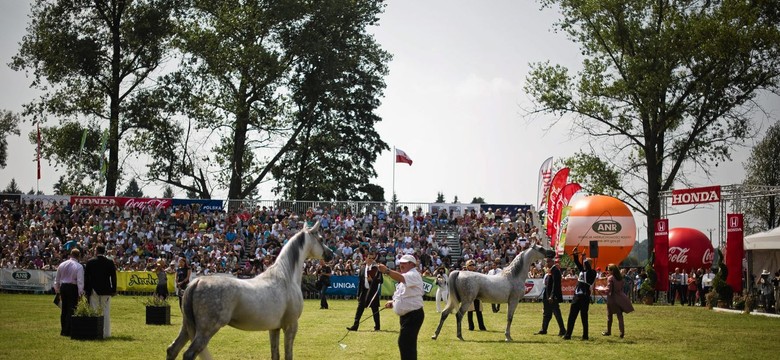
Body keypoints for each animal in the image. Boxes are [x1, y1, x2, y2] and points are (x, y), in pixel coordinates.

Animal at [168, 219, 332, 360]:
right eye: (321, 239)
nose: (331, 254)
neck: (286, 277)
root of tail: (197, 282)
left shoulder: (274, 328)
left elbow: (275, 354)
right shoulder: (290, 326)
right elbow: (287, 355)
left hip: (187, 327)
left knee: (172, 349)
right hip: (206, 329)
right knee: (188, 353)